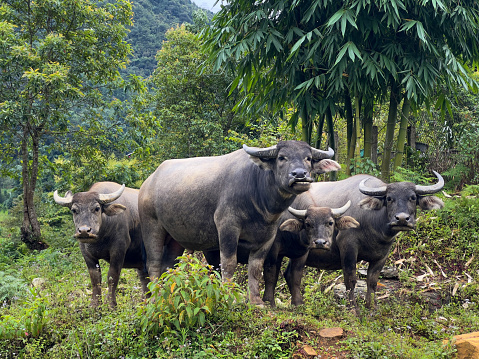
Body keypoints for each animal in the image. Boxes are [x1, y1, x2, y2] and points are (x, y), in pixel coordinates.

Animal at [139, 142, 342, 306]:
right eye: (281, 157)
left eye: (308, 158)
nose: (300, 175)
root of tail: (147, 184)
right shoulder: (228, 228)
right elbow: (229, 264)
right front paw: (229, 296)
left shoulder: (268, 236)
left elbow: (256, 268)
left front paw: (256, 301)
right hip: (151, 227)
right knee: (153, 263)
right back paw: (154, 298)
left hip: (174, 238)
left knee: (168, 266)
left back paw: (167, 296)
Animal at [284, 172, 444, 310]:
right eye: (389, 198)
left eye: (412, 197)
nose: (402, 219)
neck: (372, 223)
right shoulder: (348, 247)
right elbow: (351, 279)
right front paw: (353, 308)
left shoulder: (382, 255)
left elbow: (372, 281)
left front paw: (371, 306)